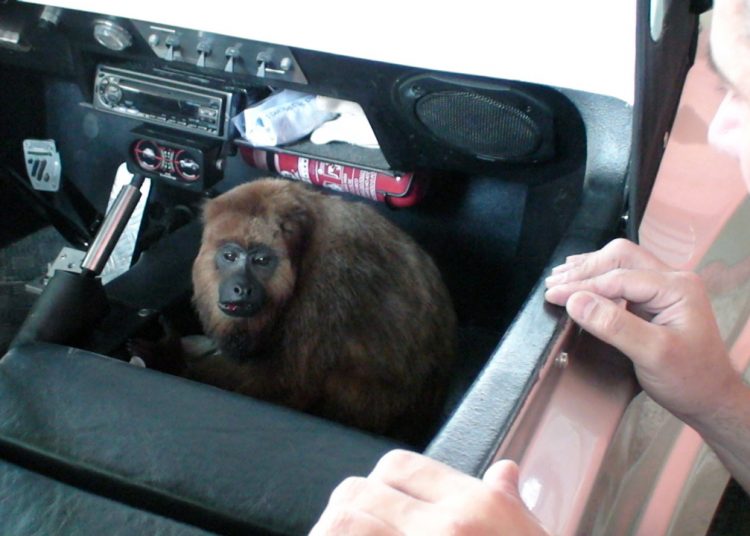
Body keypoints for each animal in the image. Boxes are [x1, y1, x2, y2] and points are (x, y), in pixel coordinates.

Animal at [135, 178, 456, 442]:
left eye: (261, 260)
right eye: (230, 256)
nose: (241, 288)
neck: (305, 246)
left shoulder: (330, 281)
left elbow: (285, 384)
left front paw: (168, 357)